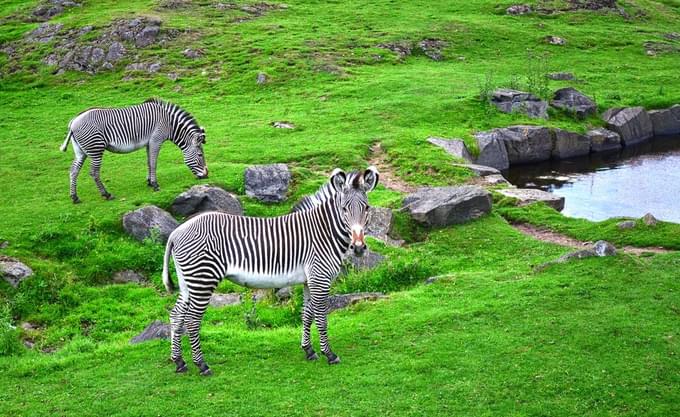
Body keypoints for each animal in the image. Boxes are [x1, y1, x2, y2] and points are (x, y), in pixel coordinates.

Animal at [58, 97, 207, 202]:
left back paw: (74, 197)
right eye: (200, 155)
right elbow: (154, 163)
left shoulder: (149, 142)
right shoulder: (156, 139)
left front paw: (149, 181)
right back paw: (106, 194)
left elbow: (148, 162)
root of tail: (74, 121)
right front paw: (155, 185)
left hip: (81, 151)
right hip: (96, 148)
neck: (169, 123)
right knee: (93, 172)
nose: (206, 175)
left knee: (73, 170)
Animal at [162, 166, 380, 374]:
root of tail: (176, 232)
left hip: (188, 280)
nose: (358, 248)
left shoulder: (309, 280)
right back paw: (202, 365)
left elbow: (307, 314)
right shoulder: (320, 277)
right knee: (192, 321)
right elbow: (321, 317)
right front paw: (329, 354)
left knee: (176, 316)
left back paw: (179, 362)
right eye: (344, 209)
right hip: (203, 278)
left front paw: (308, 350)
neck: (324, 232)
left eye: (367, 208)